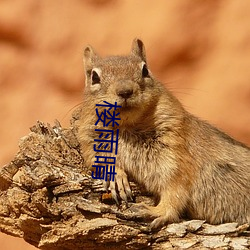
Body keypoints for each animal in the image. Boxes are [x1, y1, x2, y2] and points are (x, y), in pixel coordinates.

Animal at [77, 38, 249, 229]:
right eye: (94, 77)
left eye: (145, 70)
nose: (125, 91)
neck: (126, 127)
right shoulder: (89, 141)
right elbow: (96, 159)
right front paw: (115, 176)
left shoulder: (176, 154)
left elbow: (175, 189)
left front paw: (156, 211)